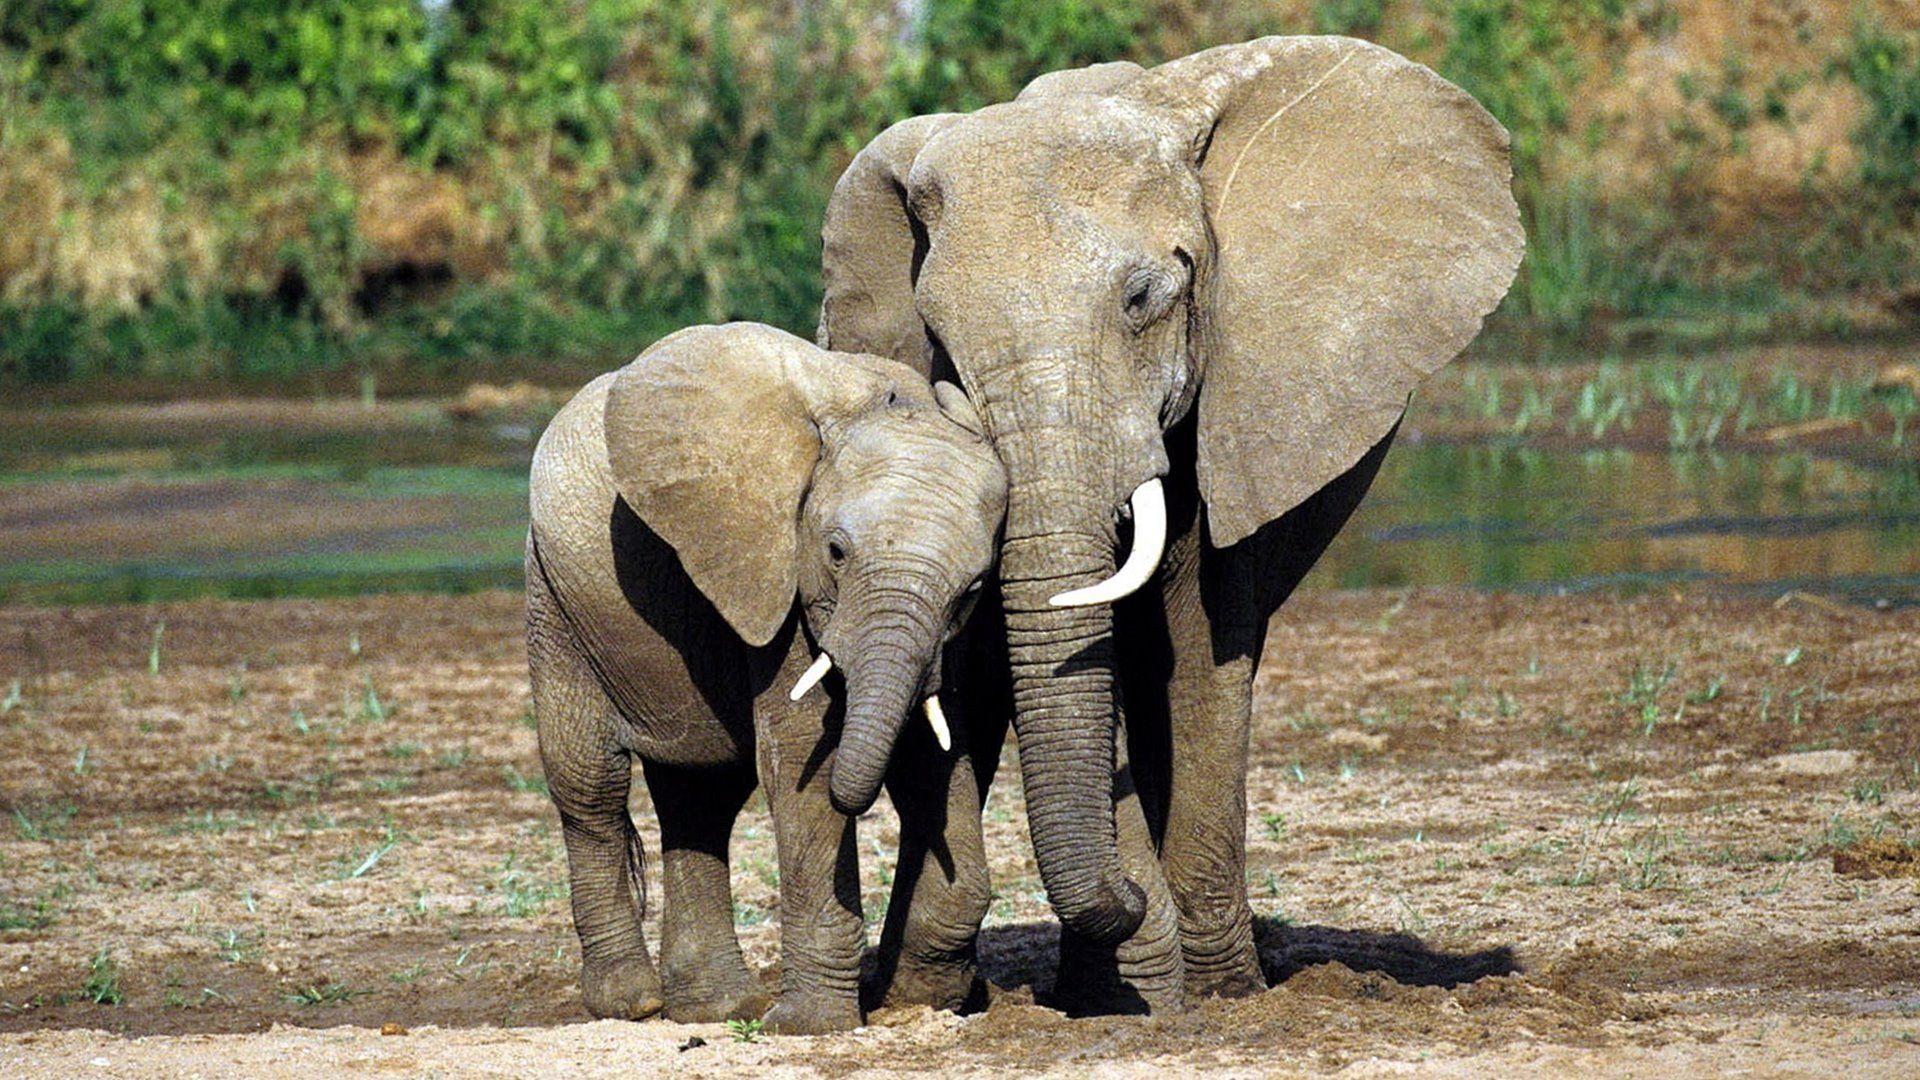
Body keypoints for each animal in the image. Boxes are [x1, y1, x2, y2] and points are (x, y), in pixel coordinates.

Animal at [526, 322, 1009, 1033]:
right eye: (835, 552)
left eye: (973, 588)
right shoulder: (777, 574)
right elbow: (802, 765)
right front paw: (811, 1027)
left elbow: (937, 755)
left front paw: (918, 1000)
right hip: (555, 599)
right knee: (590, 786)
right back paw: (634, 1003)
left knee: (701, 797)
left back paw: (715, 1008)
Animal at [816, 36, 1523, 1011]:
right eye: (938, 338)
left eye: (1142, 299)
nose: (1124, 887)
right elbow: (986, 657)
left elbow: (1197, 647)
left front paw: (1219, 994)